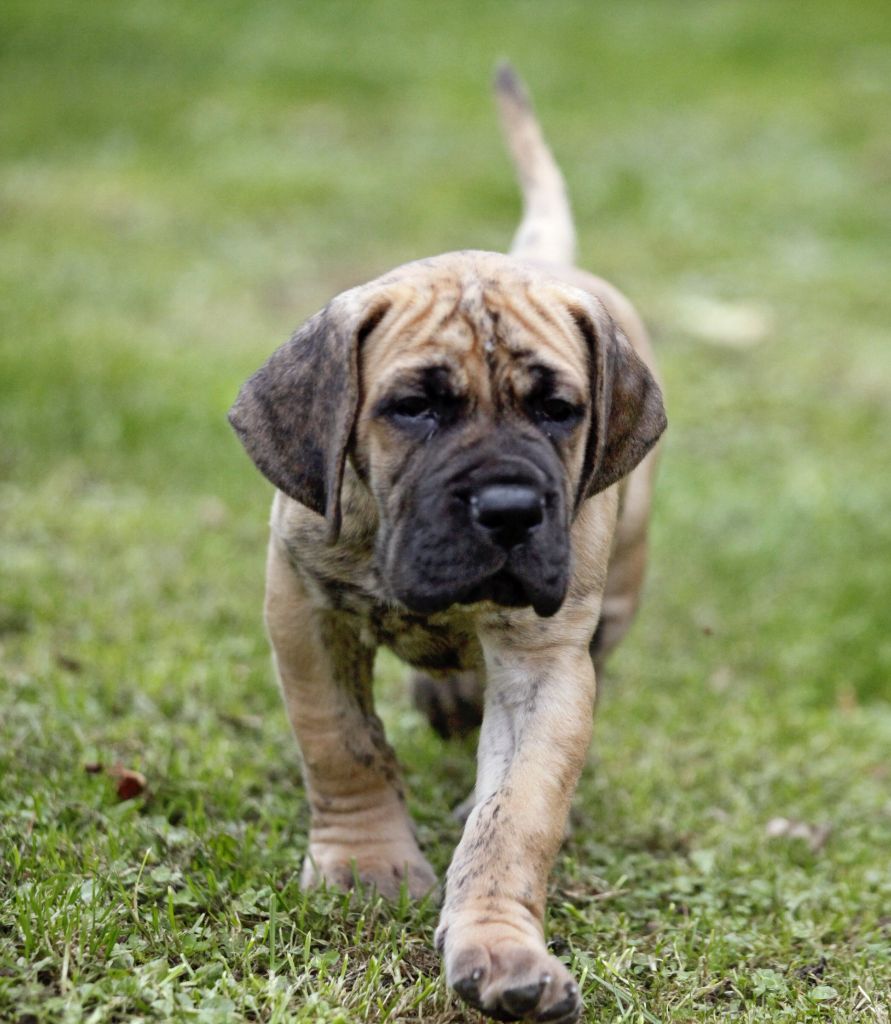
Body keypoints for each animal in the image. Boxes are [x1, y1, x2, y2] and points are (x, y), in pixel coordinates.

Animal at [229, 65, 666, 1024]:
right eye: (414, 407)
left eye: (557, 410)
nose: (508, 508)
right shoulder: (300, 606)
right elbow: (340, 741)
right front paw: (365, 865)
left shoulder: (545, 661)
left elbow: (515, 816)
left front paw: (501, 948)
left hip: (616, 591)